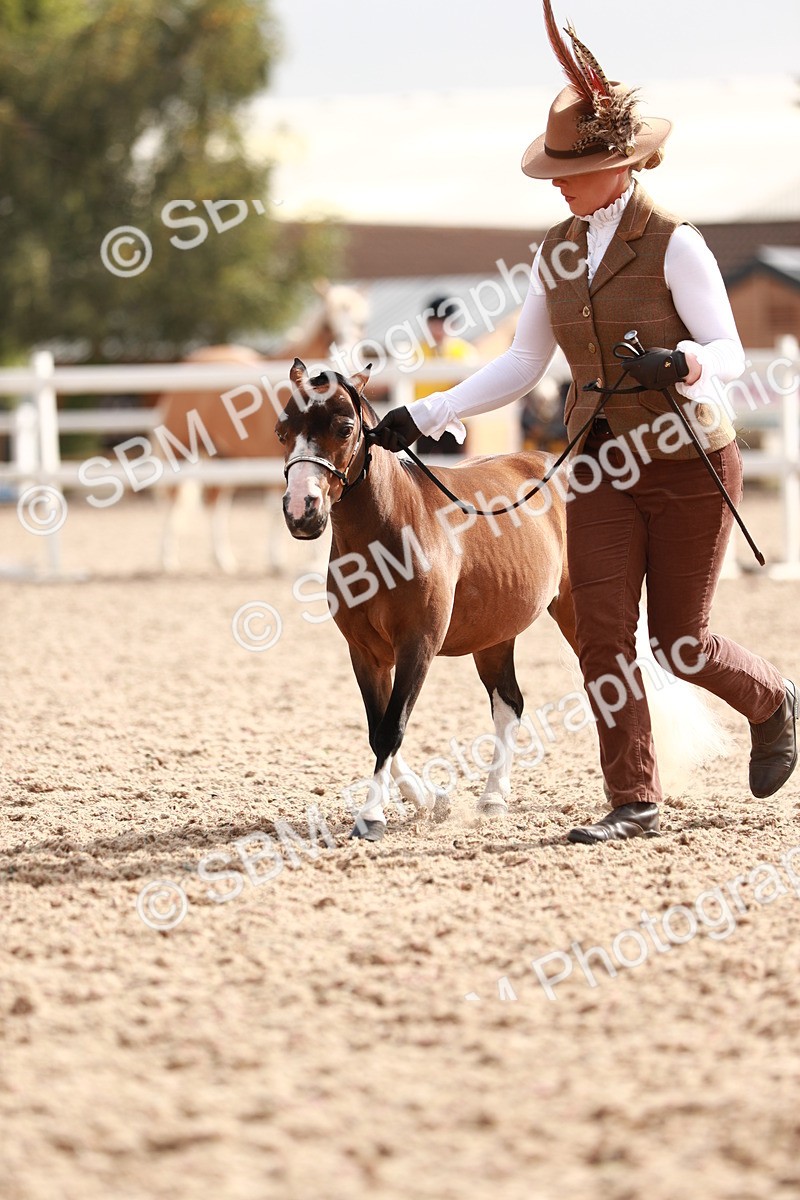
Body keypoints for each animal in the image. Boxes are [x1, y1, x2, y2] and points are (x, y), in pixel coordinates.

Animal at [156, 282, 371, 573]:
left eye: (362, 322)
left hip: (223, 457)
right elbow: (278, 505)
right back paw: (167, 560)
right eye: (329, 323)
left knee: (215, 502)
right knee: (173, 499)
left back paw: (223, 560)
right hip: (181, 451)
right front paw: (283, 560)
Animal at [279, 358, 579, 841]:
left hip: (570, 610)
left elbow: (391, 729)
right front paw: (430, 799)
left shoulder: (418, 644)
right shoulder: (365, 652)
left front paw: (371, 816)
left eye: (345, 429)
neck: (388, 532)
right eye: (281, 432)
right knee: (509, 704)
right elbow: (376, 729)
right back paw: (493, 798)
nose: (301, 511)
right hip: (494, 636)